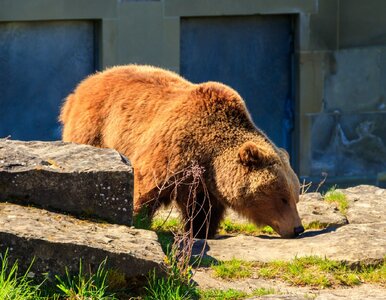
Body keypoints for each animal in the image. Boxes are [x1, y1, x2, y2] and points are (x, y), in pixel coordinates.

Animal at [60, 64, 304, 238]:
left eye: (295, 196)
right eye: (282, 197)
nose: (298, 228)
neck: (209, 155)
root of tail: (82, 86)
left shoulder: (205, 183)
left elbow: (202, 212)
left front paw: (200, 232)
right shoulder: (171, 154)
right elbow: (143, 189)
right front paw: (137, 220)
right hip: (94, 129)